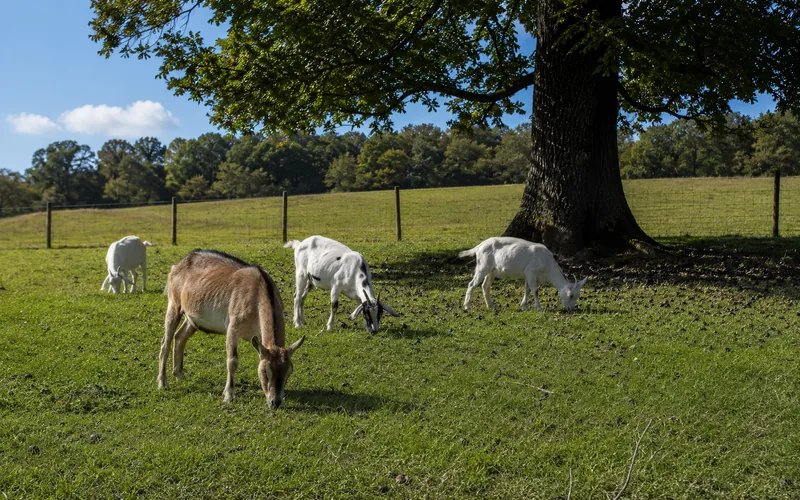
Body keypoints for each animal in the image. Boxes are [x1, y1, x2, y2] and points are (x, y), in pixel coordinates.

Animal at [158, 249, 304, 408]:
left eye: (289, 371)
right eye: (266, 371)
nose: (275, 402)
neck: (257, 294)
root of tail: (176, 266)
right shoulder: (233, 326)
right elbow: (232, 361)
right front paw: (228, 395)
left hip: (192, 318)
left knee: (180, 336)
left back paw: (179, 375)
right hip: (174, 304)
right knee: (166, 341)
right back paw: (162, 382)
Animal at [459, 237, 588, 311]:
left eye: (577, 296)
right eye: (570, 295)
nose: (570, 309)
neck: (547, 264)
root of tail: (479, 247)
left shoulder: (528, 274)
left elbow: (527, 289)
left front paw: (524, 306)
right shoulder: (531, 271)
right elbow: (535, 290)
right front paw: (539, 307)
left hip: (491, 271)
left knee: (485, 286)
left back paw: (491, 306)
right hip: (482, 266)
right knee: (472, 284)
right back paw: (466, 306)